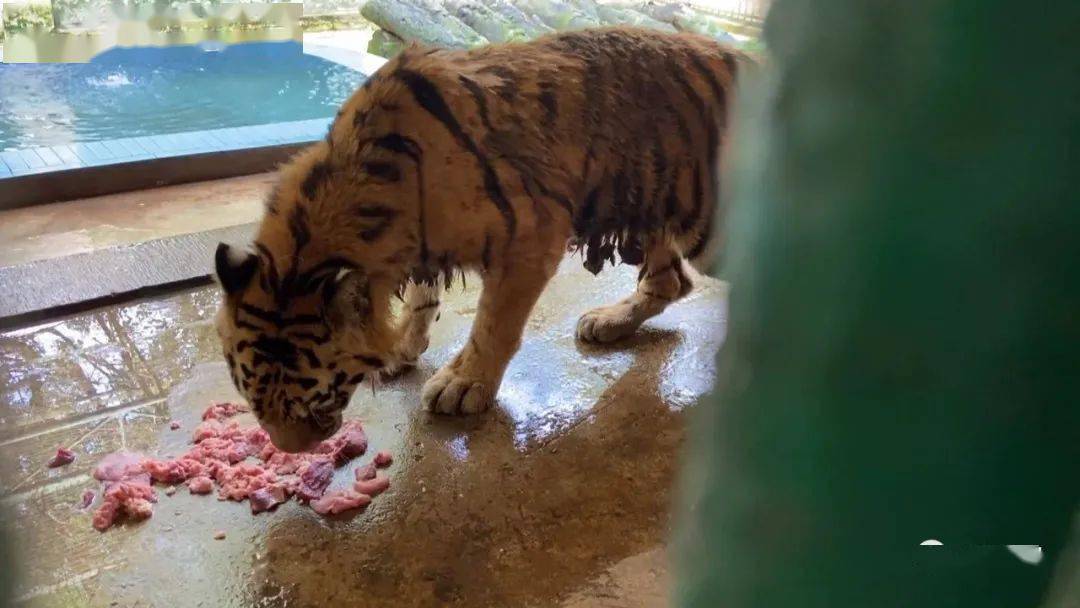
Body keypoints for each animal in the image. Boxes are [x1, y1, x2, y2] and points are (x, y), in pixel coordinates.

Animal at [213, 26, 747, 453]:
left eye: (313, 399)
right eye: (251, 398)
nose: (293, 450)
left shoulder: (531, 236)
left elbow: (494, 323)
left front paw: (463, 384)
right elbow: (422, 300)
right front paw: (404, 348)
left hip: (710, 224)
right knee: (671, 281)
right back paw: (610, 321)